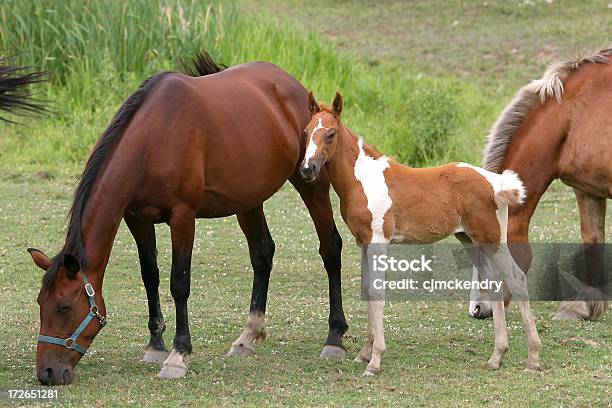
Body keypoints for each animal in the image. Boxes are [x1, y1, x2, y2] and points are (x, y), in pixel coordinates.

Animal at [28, 53, 346, 386]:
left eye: (64, 306)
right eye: (40, 304)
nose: (47, 373)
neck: (153, 139)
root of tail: (292, 86)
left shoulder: (183, 217)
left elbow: (178, 283)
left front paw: (178, 356)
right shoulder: (136, 218)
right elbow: (150, 275)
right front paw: (155, 346)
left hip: (312, 183)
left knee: (330, 248)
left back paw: (334, 338)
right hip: (248, 199)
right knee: (262, 254)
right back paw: (247, 337)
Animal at [302, 92, 540, 376]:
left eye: (331, 133)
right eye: (306, 132)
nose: (307, 169)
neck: (363, 180)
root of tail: (497, 182)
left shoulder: (379, 241)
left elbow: (377, 292)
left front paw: (375, 360)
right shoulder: (363, 242)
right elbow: (367, 288)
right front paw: (364, 353)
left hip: (492, 240)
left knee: (516, 278)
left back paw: (533, 358)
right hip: (471, 240)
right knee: (494, 282)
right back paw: (496, 356)